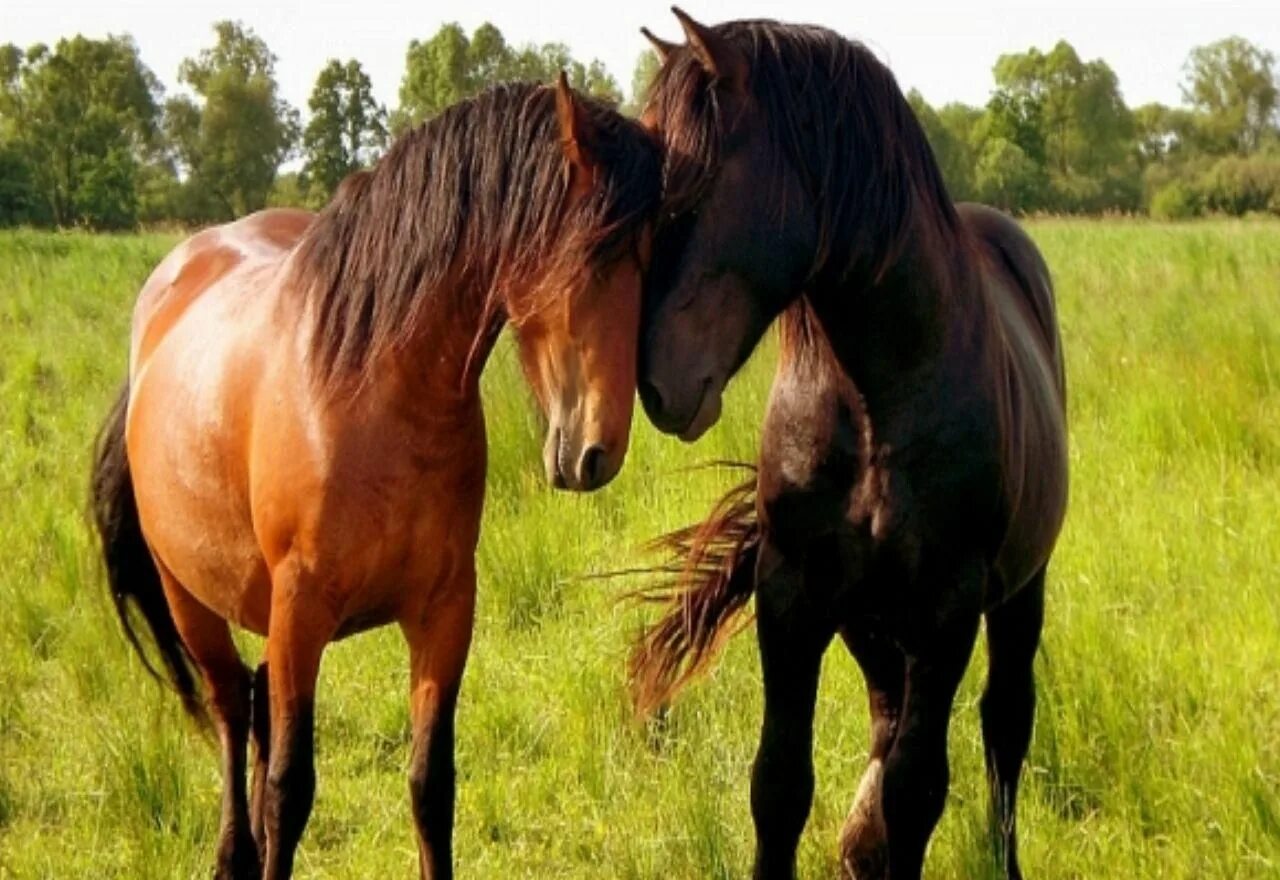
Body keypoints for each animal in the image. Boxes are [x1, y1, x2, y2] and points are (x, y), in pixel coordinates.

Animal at [91, 77, 665, 880]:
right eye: (594, 251)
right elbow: (290, 786)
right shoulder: (301, 610)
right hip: (190, 599)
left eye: (653, 256)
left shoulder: (444, 609)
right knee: (233, 708)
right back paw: (234, 852)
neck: (373, 391)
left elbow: (431, 784)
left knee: (255, 703)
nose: (596, 451)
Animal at [632, 11, 1070, 880]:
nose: (656, 381)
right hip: (869, 622)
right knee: (888, 716)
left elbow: (916, 792)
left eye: (695, 182)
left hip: (1016, 593)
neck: (875, 400)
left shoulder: (946, 607)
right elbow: (779, 784)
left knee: (1005, 727)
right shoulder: (792, 593)